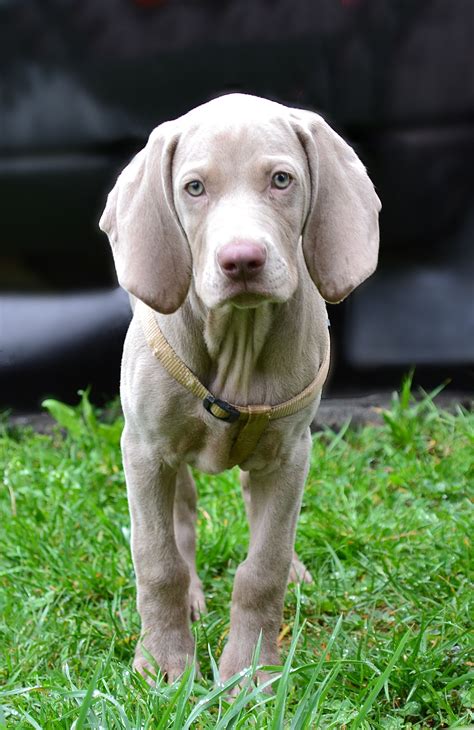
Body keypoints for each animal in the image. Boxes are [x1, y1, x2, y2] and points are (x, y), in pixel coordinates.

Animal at [100, 92, 382, 684]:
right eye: (194, 188)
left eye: (281, 179)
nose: (242, 260)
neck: (238, 339)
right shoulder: (144, 450)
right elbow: (157, 560)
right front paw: (164, 663)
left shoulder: (291, 453)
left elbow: (262, 567)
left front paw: (251, 672)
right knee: (182, 517)